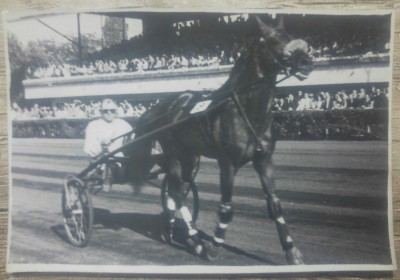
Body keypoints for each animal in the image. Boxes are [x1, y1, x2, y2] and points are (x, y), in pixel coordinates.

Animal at [127, 15, 312, 264]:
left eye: (290, 36)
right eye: (273, 40)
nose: (306, 61)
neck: (246, 111)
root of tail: (162, 107)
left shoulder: (264, 161)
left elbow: (275, 204)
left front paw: (292, 251)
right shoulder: (228, 163)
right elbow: (226, 207)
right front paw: (215, 247)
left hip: (190, 157)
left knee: (180, 189)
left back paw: (173, 229)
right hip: (173, 153)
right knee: (177, 192)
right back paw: (195, 240)